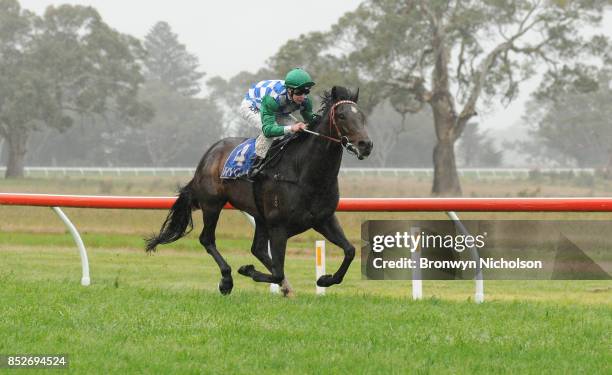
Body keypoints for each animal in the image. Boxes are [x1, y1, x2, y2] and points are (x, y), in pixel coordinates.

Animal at [146, 86, 372, 296]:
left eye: (361, 115)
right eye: (341, 115)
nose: (366, 144)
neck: (305, 173)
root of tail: (210, 153)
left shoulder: (323, 219)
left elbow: (350, 251)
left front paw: (325, 279)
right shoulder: (279, 226)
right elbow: (278, 271)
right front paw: (247, 270)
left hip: (259, 216)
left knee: (258, 249)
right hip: (212, 204)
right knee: (207, 239)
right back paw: (227, 280)